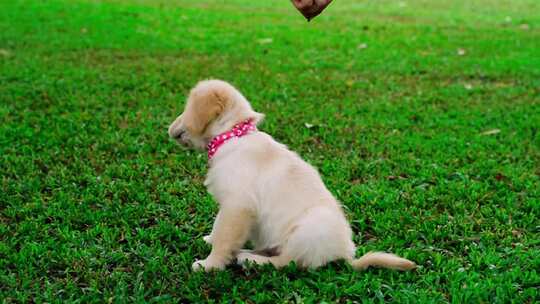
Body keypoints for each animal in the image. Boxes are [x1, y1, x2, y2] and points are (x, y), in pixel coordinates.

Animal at [167, 79, 416, 272]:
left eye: (186, 107)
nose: (168, 129)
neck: (233, 135)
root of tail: (345, 255)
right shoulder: (231, 205)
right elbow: (219, 227)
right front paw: (210, 239)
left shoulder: (238, 205)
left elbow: (225, 237)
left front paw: (209, 265)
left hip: (308, 228)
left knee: (289, 261)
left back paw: (251, 259)